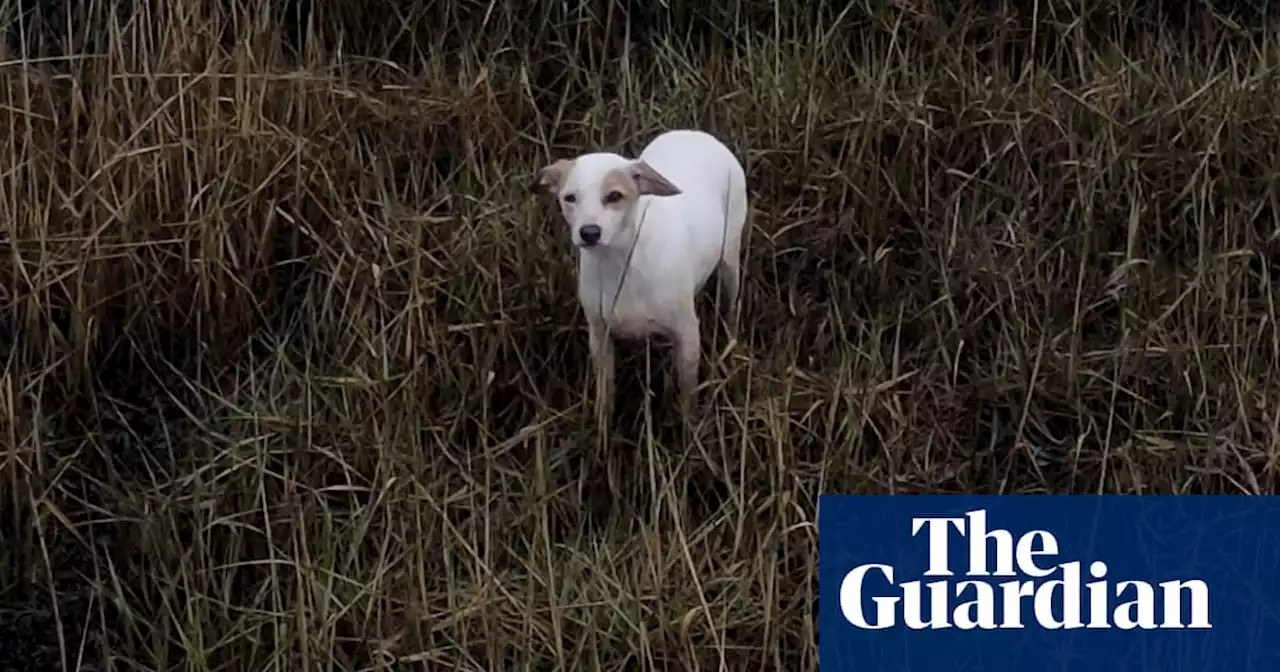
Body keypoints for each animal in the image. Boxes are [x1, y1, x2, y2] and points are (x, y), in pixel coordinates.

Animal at [532, 128, 747, 407]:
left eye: (614, 196)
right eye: (569, 198)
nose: (589, 233)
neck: (623, 263)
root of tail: (696, 133)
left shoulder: (688, 333)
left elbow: (687, 397)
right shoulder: (599, 336)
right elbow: (605, 396)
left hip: (730, 259)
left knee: (731, 304)